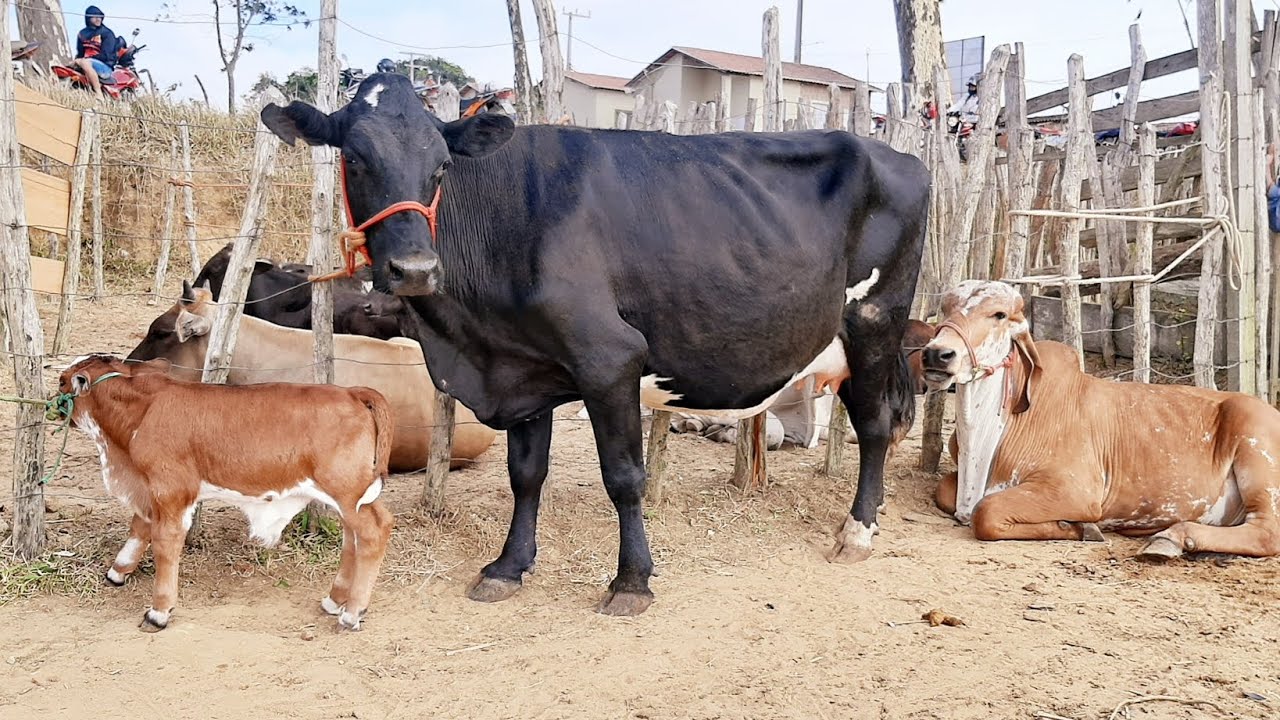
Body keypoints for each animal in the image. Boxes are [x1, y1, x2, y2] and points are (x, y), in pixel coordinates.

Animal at [53, 354, 394, 632]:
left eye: (61, 380)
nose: (53, 402)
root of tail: (352, 392)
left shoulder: (171, 488)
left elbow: (165, 541)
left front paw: (158, 611)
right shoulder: (149, 488)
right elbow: (140, 525)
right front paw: (118, 571)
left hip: (347, 491)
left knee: (374, 530)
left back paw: (352, 612)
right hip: (347, 496)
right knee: (353, 537)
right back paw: (335, 599)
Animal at [259, 73, 931, 616]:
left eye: (441, 165)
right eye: (354, 157)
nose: (415, 269)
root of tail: (899, 154)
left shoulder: (610, 359)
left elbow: (625, 476)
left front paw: (631, 581)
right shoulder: (521, 368)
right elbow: (526, 474)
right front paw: (508, 568)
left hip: (873, 319)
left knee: (875, 426)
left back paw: (857, 532)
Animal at [920, 279, 1280, 559]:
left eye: (998, 314)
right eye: (945, 309)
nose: (937, 353)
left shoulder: (1074, 489)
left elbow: (986, 512)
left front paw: (1078, 527)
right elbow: (945, 490)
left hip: (1257, 451)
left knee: (1266, 533)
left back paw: (1170, 538)